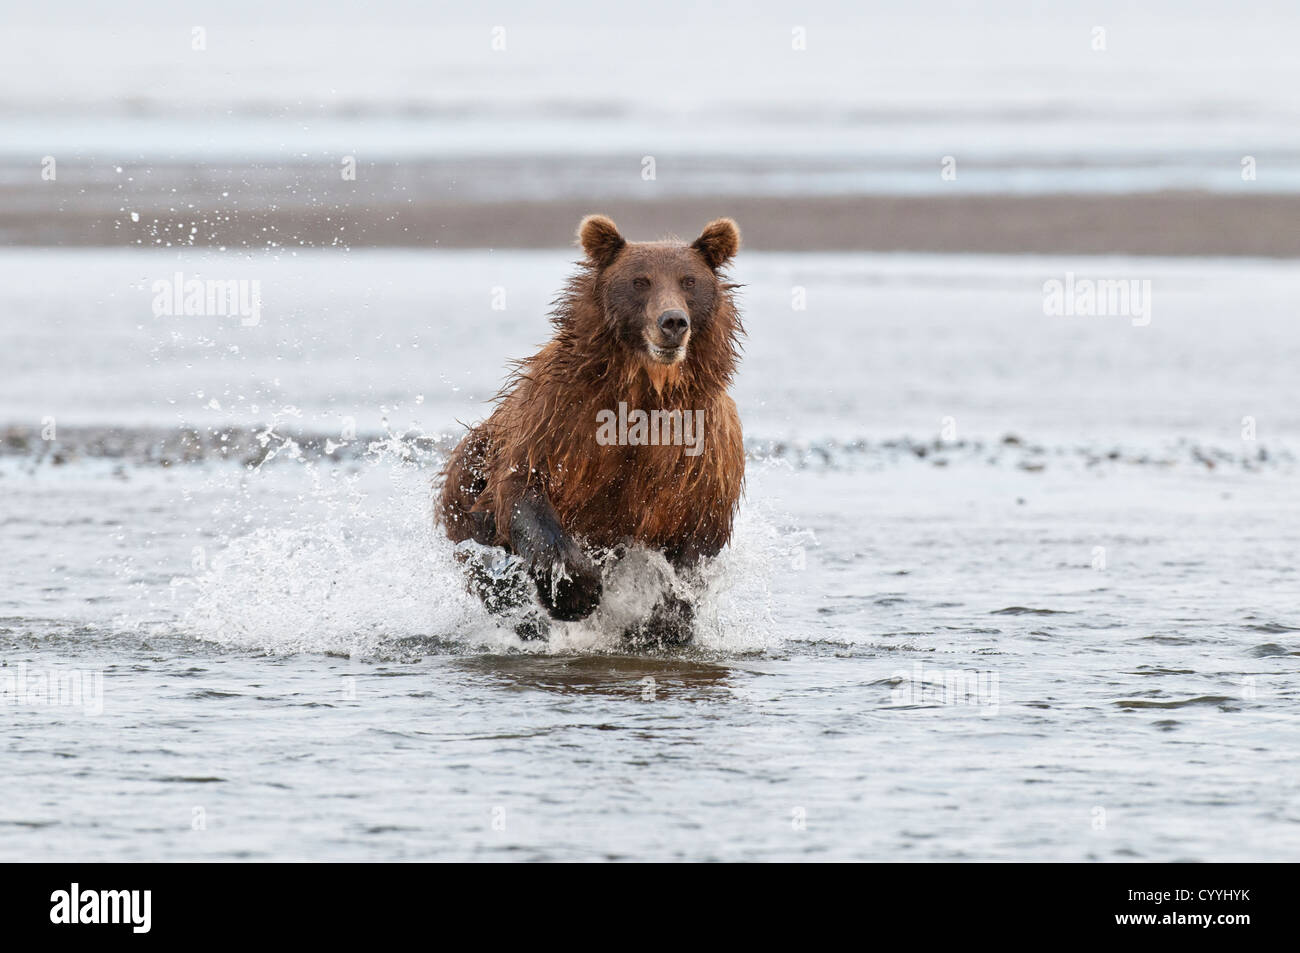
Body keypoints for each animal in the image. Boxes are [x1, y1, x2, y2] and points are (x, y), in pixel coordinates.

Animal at [436, 215, 743, 642]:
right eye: (640, 281)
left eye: (689, 281)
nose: (673, 322)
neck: (646, 393)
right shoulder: (559, 420)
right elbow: (525, 490)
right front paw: (573, 592)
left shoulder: (699, 456)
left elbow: (695, 542)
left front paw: (664, 623)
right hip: (467, 488)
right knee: (484, 565)